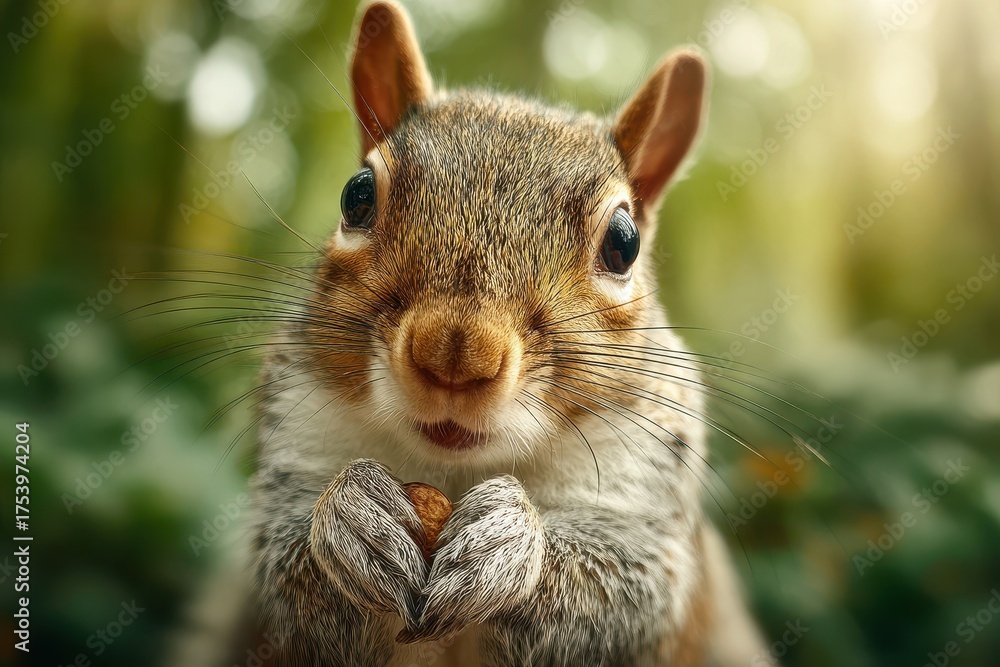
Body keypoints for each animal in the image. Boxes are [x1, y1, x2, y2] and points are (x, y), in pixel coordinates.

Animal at [230, 1, 770, 665]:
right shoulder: (298, 433)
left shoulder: (644, 496)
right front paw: (350, 516)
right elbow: (283, 571)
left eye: (624, 244)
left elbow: (625, 596)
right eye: (356, 197)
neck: (456, 472)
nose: (455, 355)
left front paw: (509, 541)